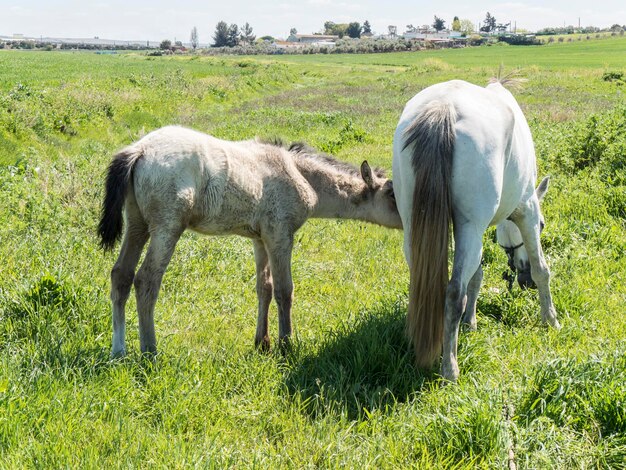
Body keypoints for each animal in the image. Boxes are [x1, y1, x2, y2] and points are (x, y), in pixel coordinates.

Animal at [97, 125, 400, 356]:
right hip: (166, 228)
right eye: (391, 194)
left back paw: (118, 351)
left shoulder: (260, 239)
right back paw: (150, 351)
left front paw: (262, 343)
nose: (407, 218)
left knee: (121, 275)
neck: (298, 173)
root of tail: (139, 150)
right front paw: (286, 345)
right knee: (146, 280)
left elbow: (263, 287)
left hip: (137, 225)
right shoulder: (280, 235)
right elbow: (284, 290)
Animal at [392, 78, 560, 382]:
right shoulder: (527, 209)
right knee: (453, 292)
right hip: (470, 227)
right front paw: (550, 319)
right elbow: (542, 269)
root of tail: (443, 108)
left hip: (416, 227)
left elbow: (477, 276)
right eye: (543, 224)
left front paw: (470, 322)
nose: (523, 281)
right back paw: (450, 368)